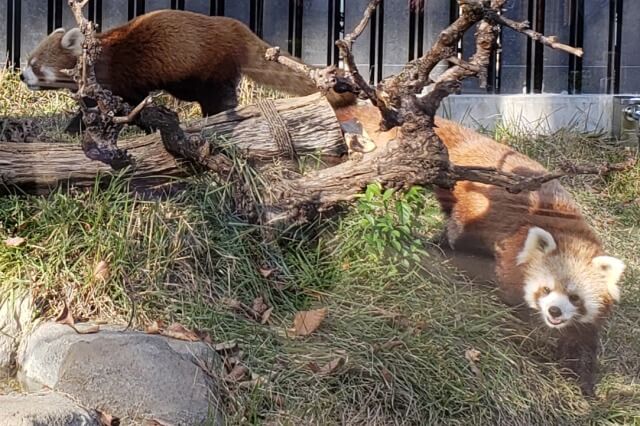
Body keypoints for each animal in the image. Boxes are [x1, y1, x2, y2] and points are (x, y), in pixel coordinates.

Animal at [336, 101, 624, 394]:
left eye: (575, 297)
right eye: (545, 289)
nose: (554, 311)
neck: (567, 229)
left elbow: (582, 342)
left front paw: (583, 382)